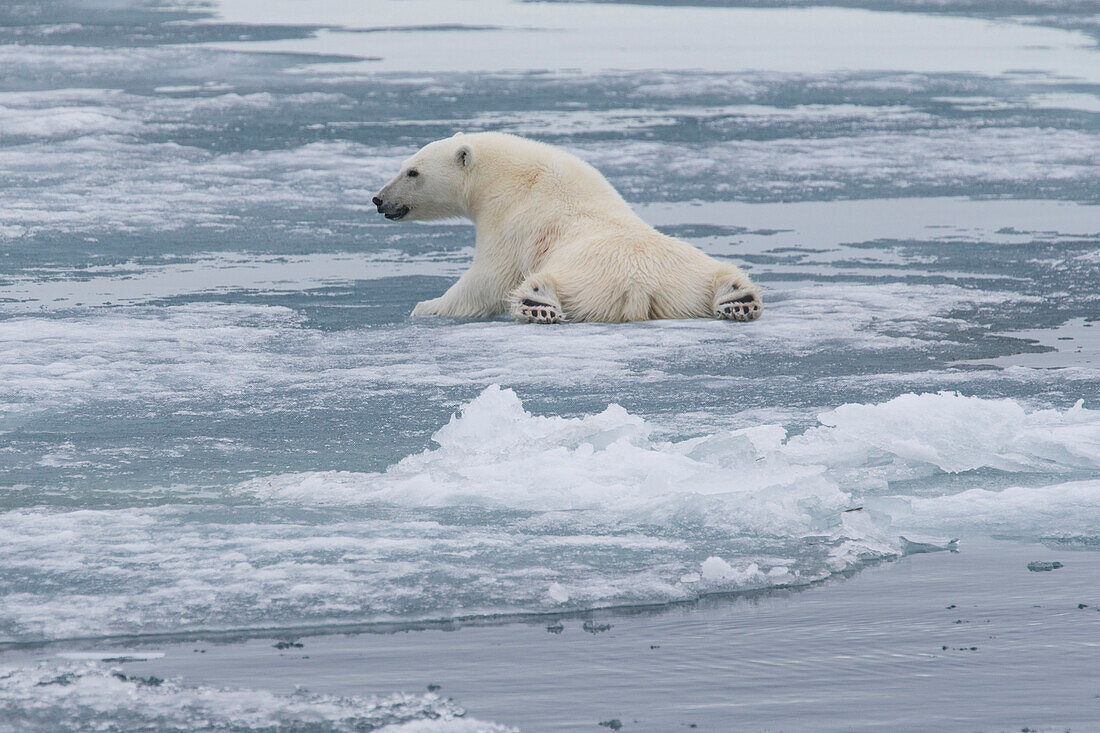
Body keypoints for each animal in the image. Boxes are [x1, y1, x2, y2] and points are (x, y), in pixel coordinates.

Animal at [374, 134, 761, 323]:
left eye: (412, 172)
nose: (379, 199)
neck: (511, 176)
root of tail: (640, 287)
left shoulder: (510, 220)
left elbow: (487, 279)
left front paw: (426, 305)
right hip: (688, 273)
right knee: (723, 274)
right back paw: (739, 301)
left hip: (581, 275)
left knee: (541, 282)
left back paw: (536, 305)